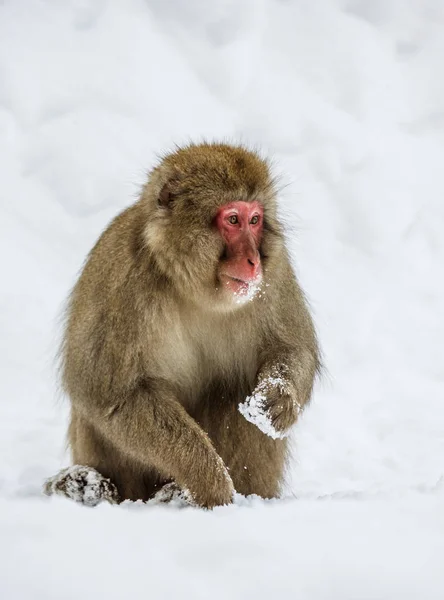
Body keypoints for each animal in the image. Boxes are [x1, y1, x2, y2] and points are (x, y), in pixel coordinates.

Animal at [44, 143, 320, 508]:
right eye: (233, 219)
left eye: (255, 220)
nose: (253, 261)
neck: (191, 289)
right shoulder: (121, 279)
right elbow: (112, 395)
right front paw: (209, 479)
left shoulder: (275, 275)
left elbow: (293, 347)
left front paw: (280, 397)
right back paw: (91, 485)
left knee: (233, 385)